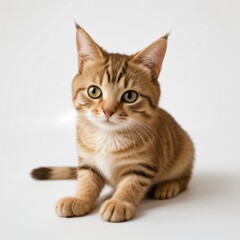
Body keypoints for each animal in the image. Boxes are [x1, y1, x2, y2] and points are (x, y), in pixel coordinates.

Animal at [30, 23, 195, 222]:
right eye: (94, 91)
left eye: (130, 96)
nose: (108, 111)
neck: (107, 136)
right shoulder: (87, 161)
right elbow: (86, 180)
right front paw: (80, 199)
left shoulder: (142, 165)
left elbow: (131, 184)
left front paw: (119, 202)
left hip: (186, 149)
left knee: (185, 177)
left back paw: (169, 185)